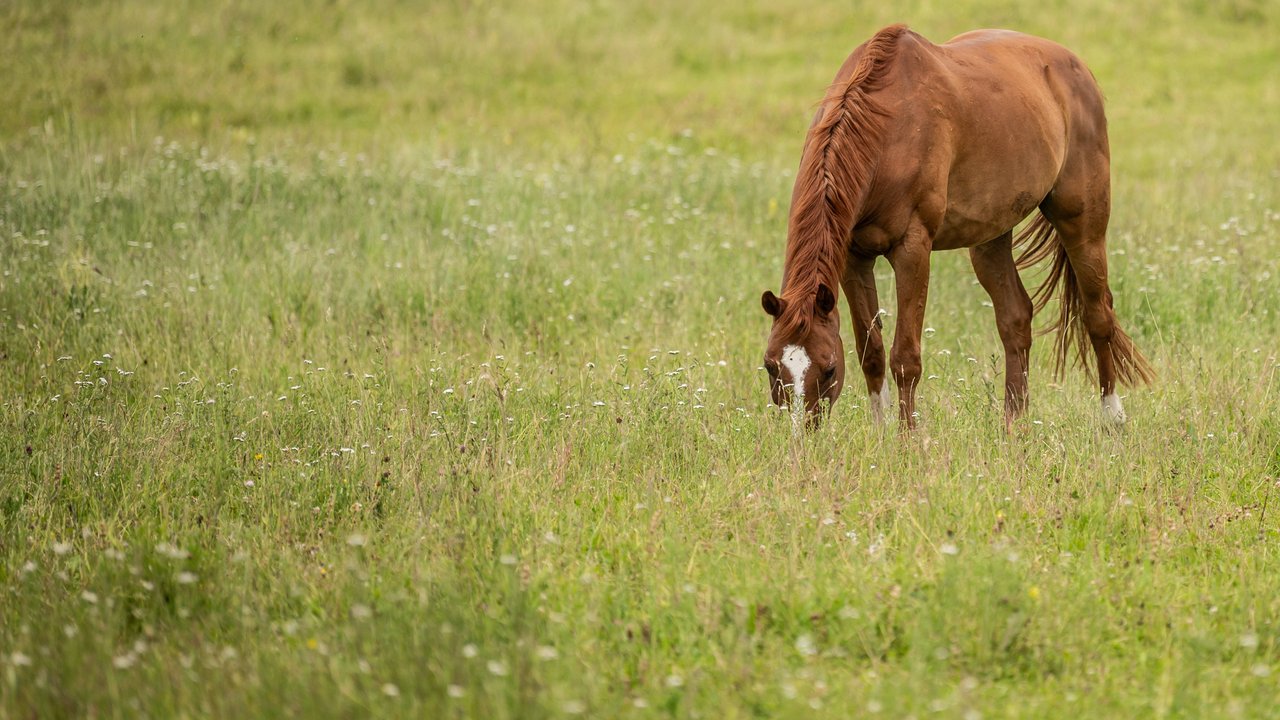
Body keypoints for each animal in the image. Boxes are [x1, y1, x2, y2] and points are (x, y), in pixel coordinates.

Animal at [761, 24, 1153, 430]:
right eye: (771, 367)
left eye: (827, 369)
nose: (799, 436)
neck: (886, 130)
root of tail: (1076, 67)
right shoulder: (854, 257)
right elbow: (872, 352)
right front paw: (881, 433)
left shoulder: (912, 249)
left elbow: (905, 358)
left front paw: (907, 436)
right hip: (990, 239)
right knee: (1016, 318)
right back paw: (1013, 425)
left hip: (1083, 226)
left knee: (1098, 315)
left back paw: (1112, 416)